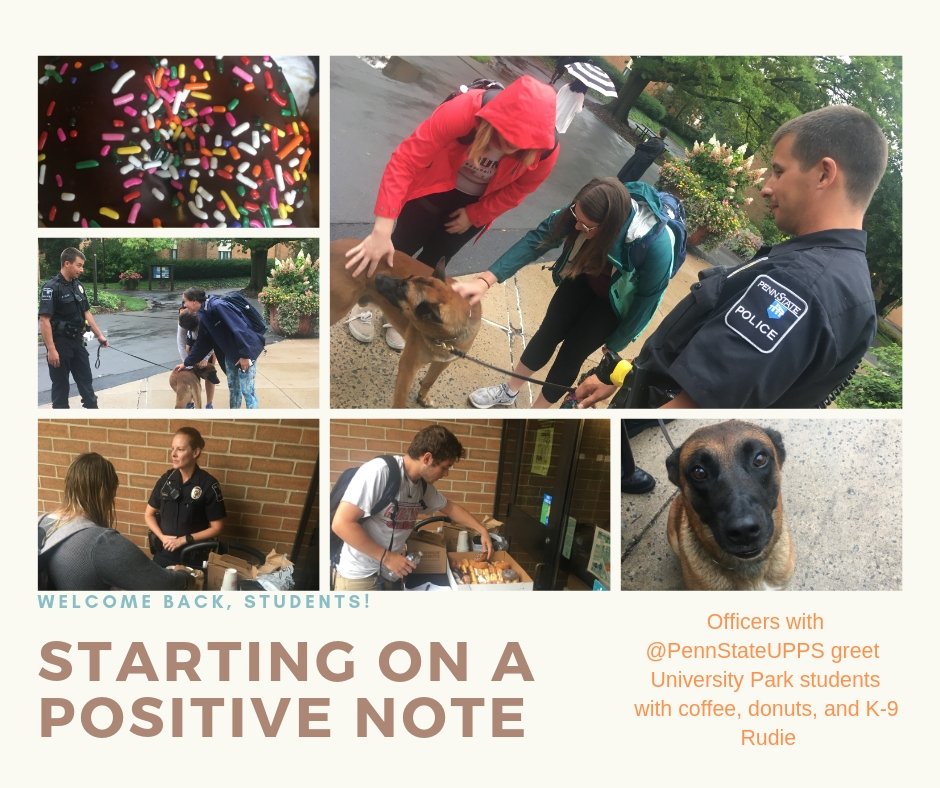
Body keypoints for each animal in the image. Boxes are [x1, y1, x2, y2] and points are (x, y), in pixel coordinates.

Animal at [330, 239, 482, 410]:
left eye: (401, 290)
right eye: (407, 279)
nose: (377, 276)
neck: (444, 338)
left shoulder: (441, 364)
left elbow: (429, 380)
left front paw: (423, 396)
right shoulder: (408, 368)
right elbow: (400, 401)